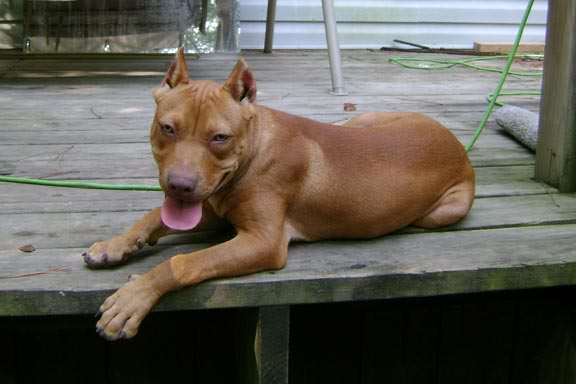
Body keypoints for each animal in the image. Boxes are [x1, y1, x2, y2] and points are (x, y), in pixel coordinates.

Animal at [83, 49, 474, 340]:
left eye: (220, 138)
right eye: (167, 128)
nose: (179, 186)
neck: (254, 148)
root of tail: (455, 142)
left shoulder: (263, 241)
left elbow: (184, 262)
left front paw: (133, 298)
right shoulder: (212, 209)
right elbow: (153, 216)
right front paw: (114, 245)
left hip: (444, 211)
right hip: (363, 120)